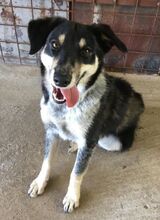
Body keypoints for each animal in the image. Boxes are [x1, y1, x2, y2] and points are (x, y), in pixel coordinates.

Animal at [26, 16, 144, 213]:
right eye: (54, 44)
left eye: (87, 50)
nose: (61, 79)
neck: (65, 109)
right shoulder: (51, 131)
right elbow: (47, 160)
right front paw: (40, 182)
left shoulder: (90, 140)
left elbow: (77, 171)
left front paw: (72, 197)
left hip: (113, 141)